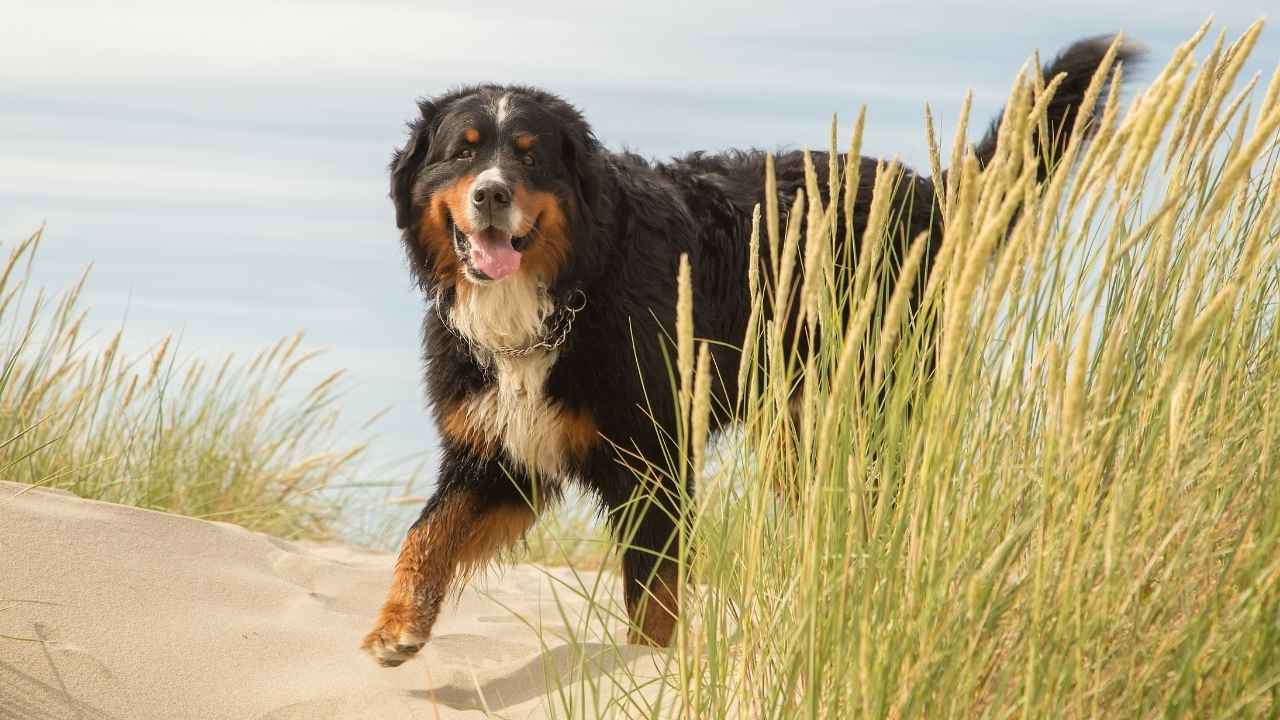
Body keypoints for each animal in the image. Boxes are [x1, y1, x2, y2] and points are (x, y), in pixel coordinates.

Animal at [360, 32, 1141, 661]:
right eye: (462, 152)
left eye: (530, 158)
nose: (491, 194)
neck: (563, 294)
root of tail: (925, 188)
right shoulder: (501, 451)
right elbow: (426, 535)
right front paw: (396, 627)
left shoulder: (653, 459)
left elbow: (653, 592)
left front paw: (652, 670)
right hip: (802, 432)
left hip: (877, 401)